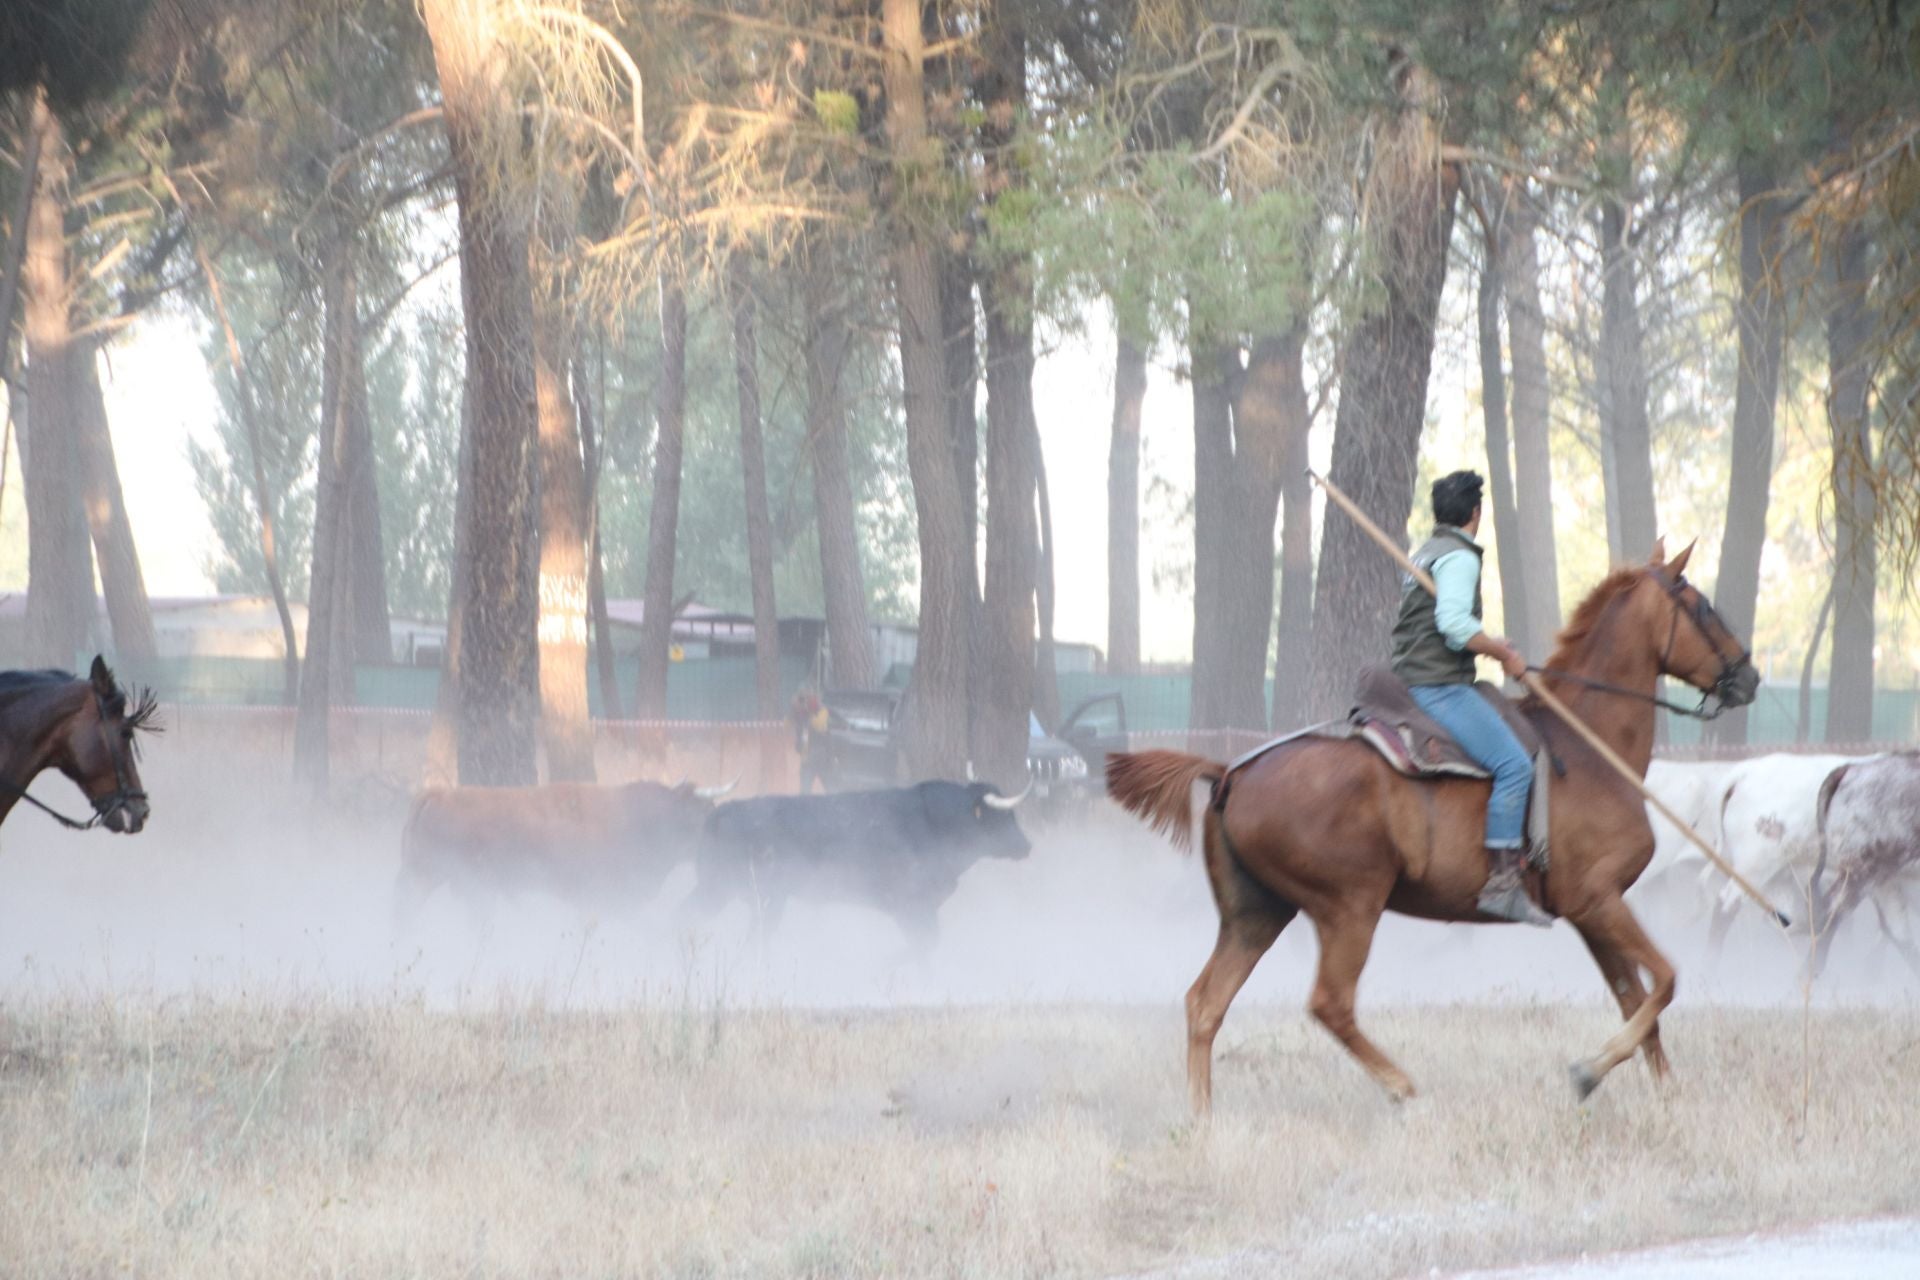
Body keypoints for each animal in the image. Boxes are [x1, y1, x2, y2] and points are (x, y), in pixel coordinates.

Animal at [683, 782, 1029, 951]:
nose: (1027, 845)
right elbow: (924, 946)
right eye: (1003, 816)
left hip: (751, 896)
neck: (935, 821)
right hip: (726, 889)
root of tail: (723, 811)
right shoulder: (912, 906)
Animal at [1113, 541, 1758, 1113]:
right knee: (1330, 1004)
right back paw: (1402, 1088)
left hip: (1255, 914)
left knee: (1205, 1004)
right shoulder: (1598, 900)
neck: (1586, 743)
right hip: (1349, 908)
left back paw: (1202, 1120)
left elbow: (1637, 1004)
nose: (1748, 676)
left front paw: (1661, 1095)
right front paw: (1586, 1071)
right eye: (1702, 605)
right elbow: (1667, 981)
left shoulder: (1593, 912)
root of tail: (1230, 773)